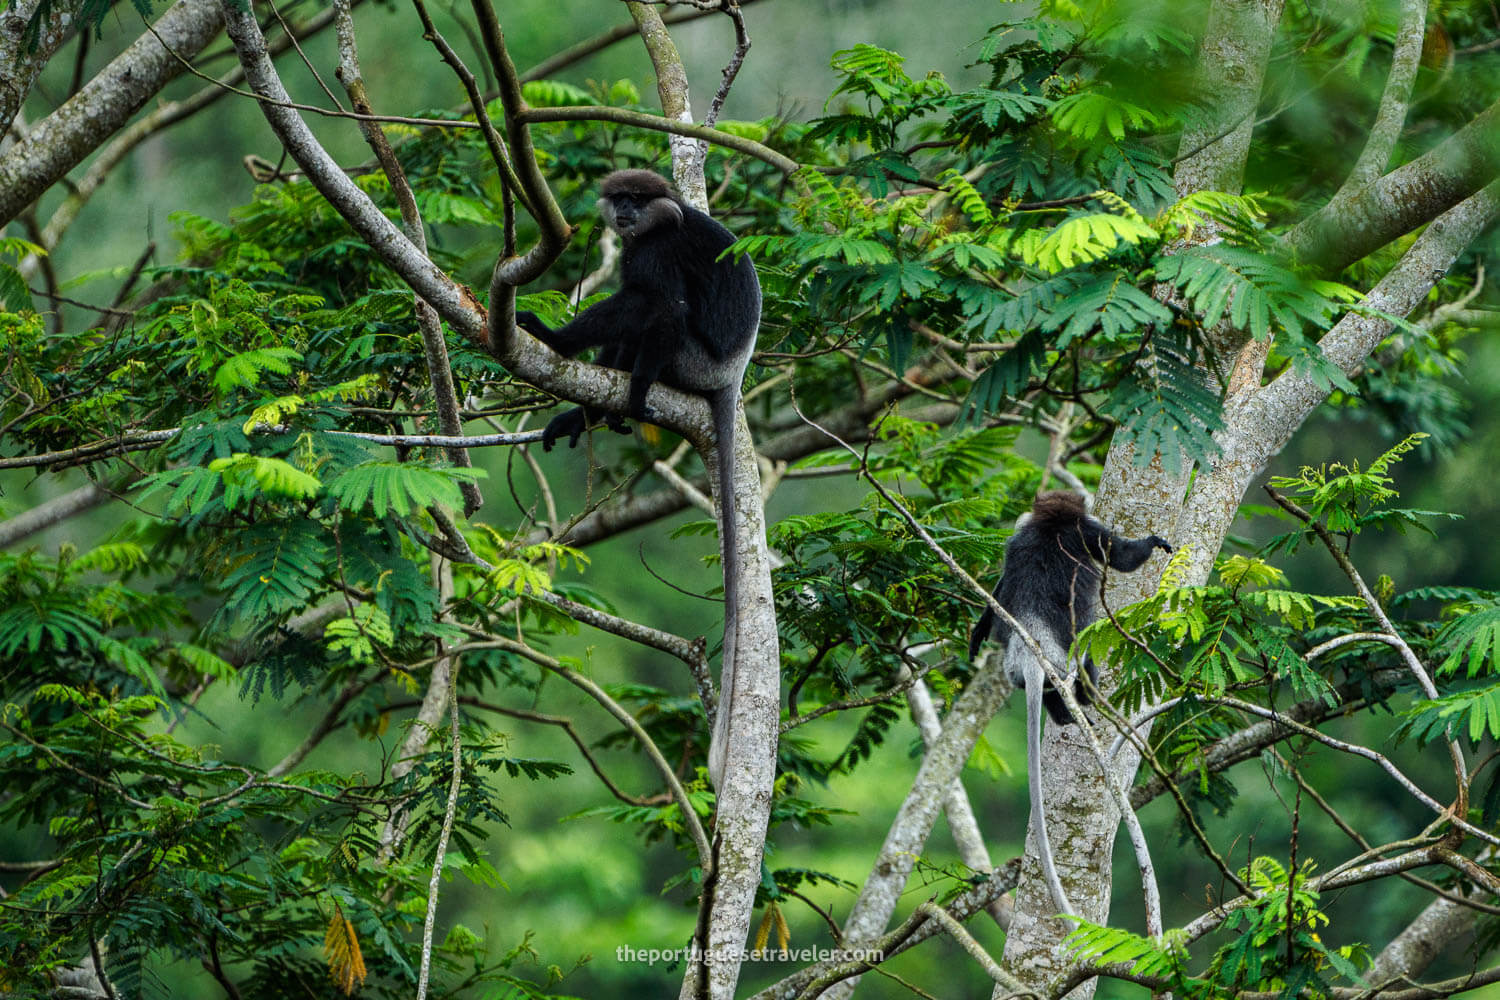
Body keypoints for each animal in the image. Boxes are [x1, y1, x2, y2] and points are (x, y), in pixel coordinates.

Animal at [972, 491, 1170, 917]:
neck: (1051, 522)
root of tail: (1031, 652)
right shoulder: (1086, 530)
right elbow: (1120, 556)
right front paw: (1152, 543)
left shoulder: (1018, 536)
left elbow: (1001, 585)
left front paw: (978, 629)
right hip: (1069, 655)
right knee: (1086, 665)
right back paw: (1085, 704)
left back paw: (1064, 715)